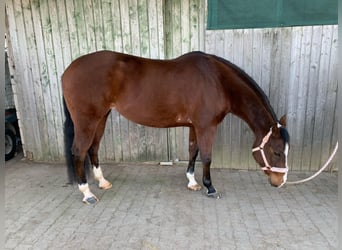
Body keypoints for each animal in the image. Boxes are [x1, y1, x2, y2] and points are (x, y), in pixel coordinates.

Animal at [61, 50, 288, 203]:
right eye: (276, 152)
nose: (281, 182)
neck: (217, 81)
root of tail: (68, 70)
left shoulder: (195, 126)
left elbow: (193, 151)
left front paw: (192, 182)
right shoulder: (207, 127)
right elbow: (207, 156)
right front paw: (210, 188)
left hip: (101, 117)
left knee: (93, 148)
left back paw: (102, 182)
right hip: (87, 120)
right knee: (79, 151)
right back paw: (87, 193)